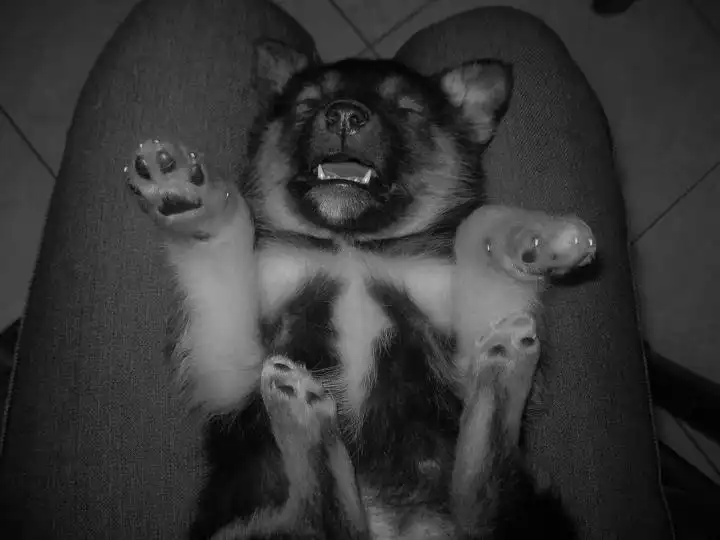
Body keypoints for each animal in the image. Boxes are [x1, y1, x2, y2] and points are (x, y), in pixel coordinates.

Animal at [126, 39, 595, 539]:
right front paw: (189, 203)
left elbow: (475, 224)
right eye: (307, 104)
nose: (344, 114)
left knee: (478, 496)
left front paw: (532, 238)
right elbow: (218, 254)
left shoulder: (457, 364)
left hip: (528, 510)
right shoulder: (230, 375)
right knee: (323, 519)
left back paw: (504, 365)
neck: (348, 246)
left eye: (407, 109)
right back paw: (306, 419)